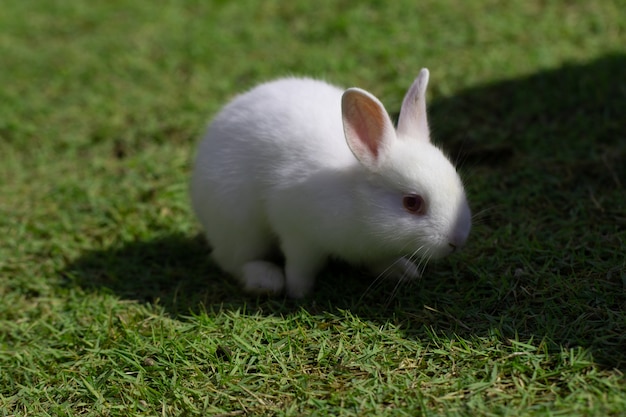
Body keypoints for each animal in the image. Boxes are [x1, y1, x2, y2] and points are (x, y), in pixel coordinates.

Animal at [190, 69, 468, 296]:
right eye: (412, 203)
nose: (457, 241)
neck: (358, 205)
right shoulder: (297, 233)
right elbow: (300, 265)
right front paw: (298, 292)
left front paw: (403, 271)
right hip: (239, 228)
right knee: (232, 260)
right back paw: (266, 280)